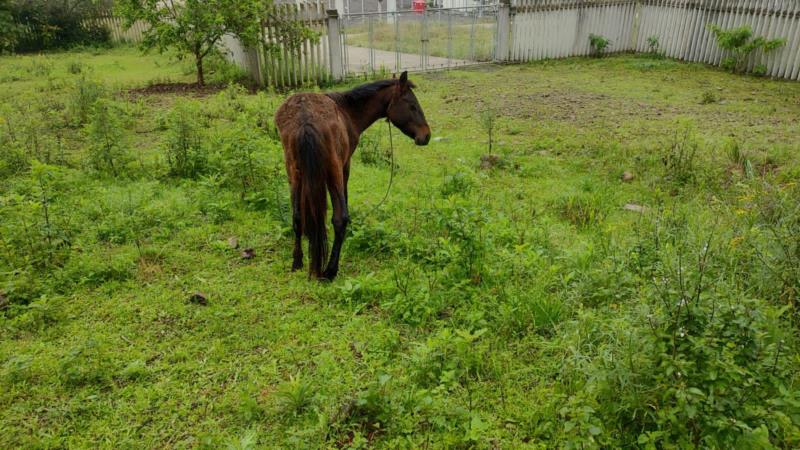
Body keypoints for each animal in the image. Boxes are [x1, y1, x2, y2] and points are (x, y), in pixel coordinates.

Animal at [276, 71, 432, 280]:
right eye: (412, 105)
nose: (426, 135)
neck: (347, 111)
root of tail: (306, 119)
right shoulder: (345, 167)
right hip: (333, 172)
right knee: (340, 219)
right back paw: (330, 270)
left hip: (294, 173)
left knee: (297, 216)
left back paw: (297, 262)